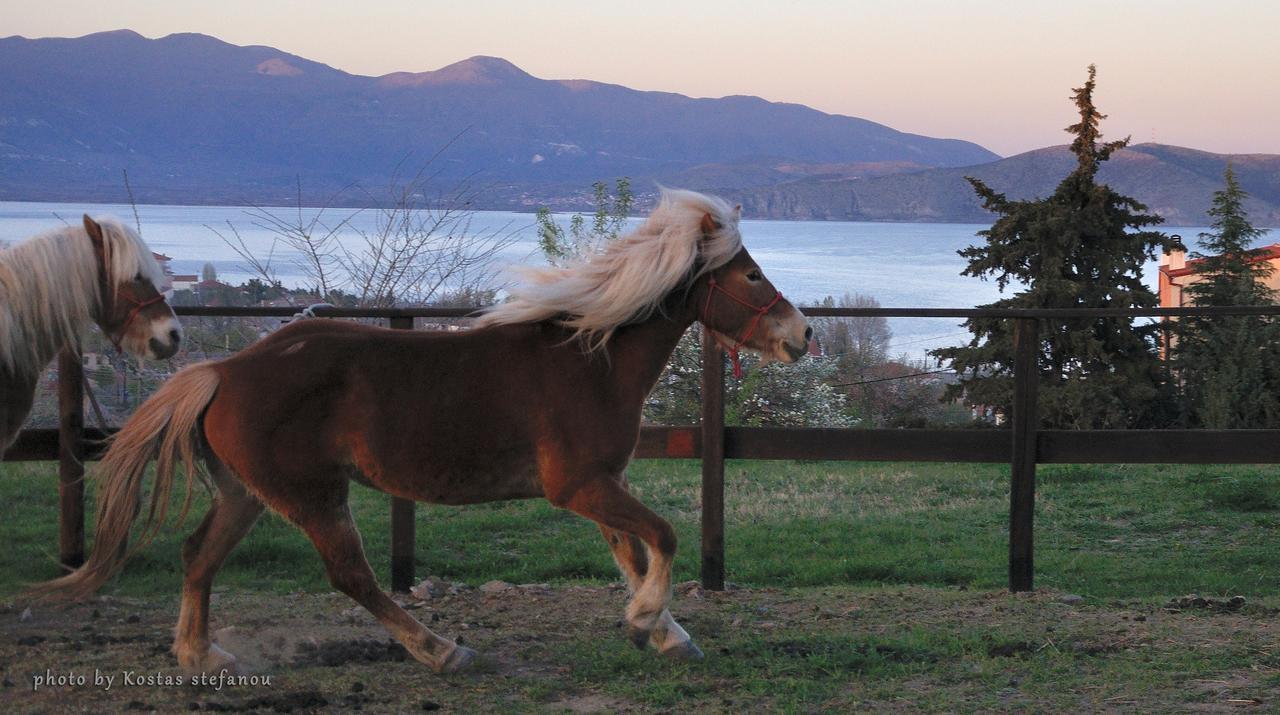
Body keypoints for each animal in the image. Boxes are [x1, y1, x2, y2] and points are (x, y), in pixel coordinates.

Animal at [37, 190, 808, 675]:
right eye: (750, 273)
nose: (801, 335)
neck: (591, 357)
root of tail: (222, 370)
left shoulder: (600, 484)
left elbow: (633, 550)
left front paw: (665, 633)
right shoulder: (578, 485)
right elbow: (664, 538)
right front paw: (647, 621)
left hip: (248, 493)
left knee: (199, 555)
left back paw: (200, 655)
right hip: (312, 495)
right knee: (351, 575)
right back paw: (442, 651)